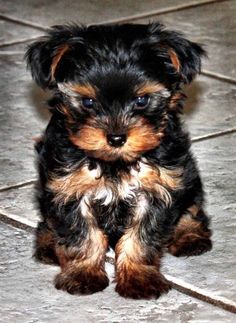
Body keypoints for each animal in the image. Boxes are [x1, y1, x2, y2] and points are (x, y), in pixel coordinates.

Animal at [25, 22, 212, 300]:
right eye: (88, 101)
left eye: (141, 100)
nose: (115, 137)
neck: (115, 163)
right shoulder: (68, 187)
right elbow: (81, 234)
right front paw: (82, 275)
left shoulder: (158, 188)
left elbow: (142, 237)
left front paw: (139, 279)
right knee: (49, 219)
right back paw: (48, 243)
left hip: (187, 174)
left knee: (192, 206)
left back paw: (190, 236)